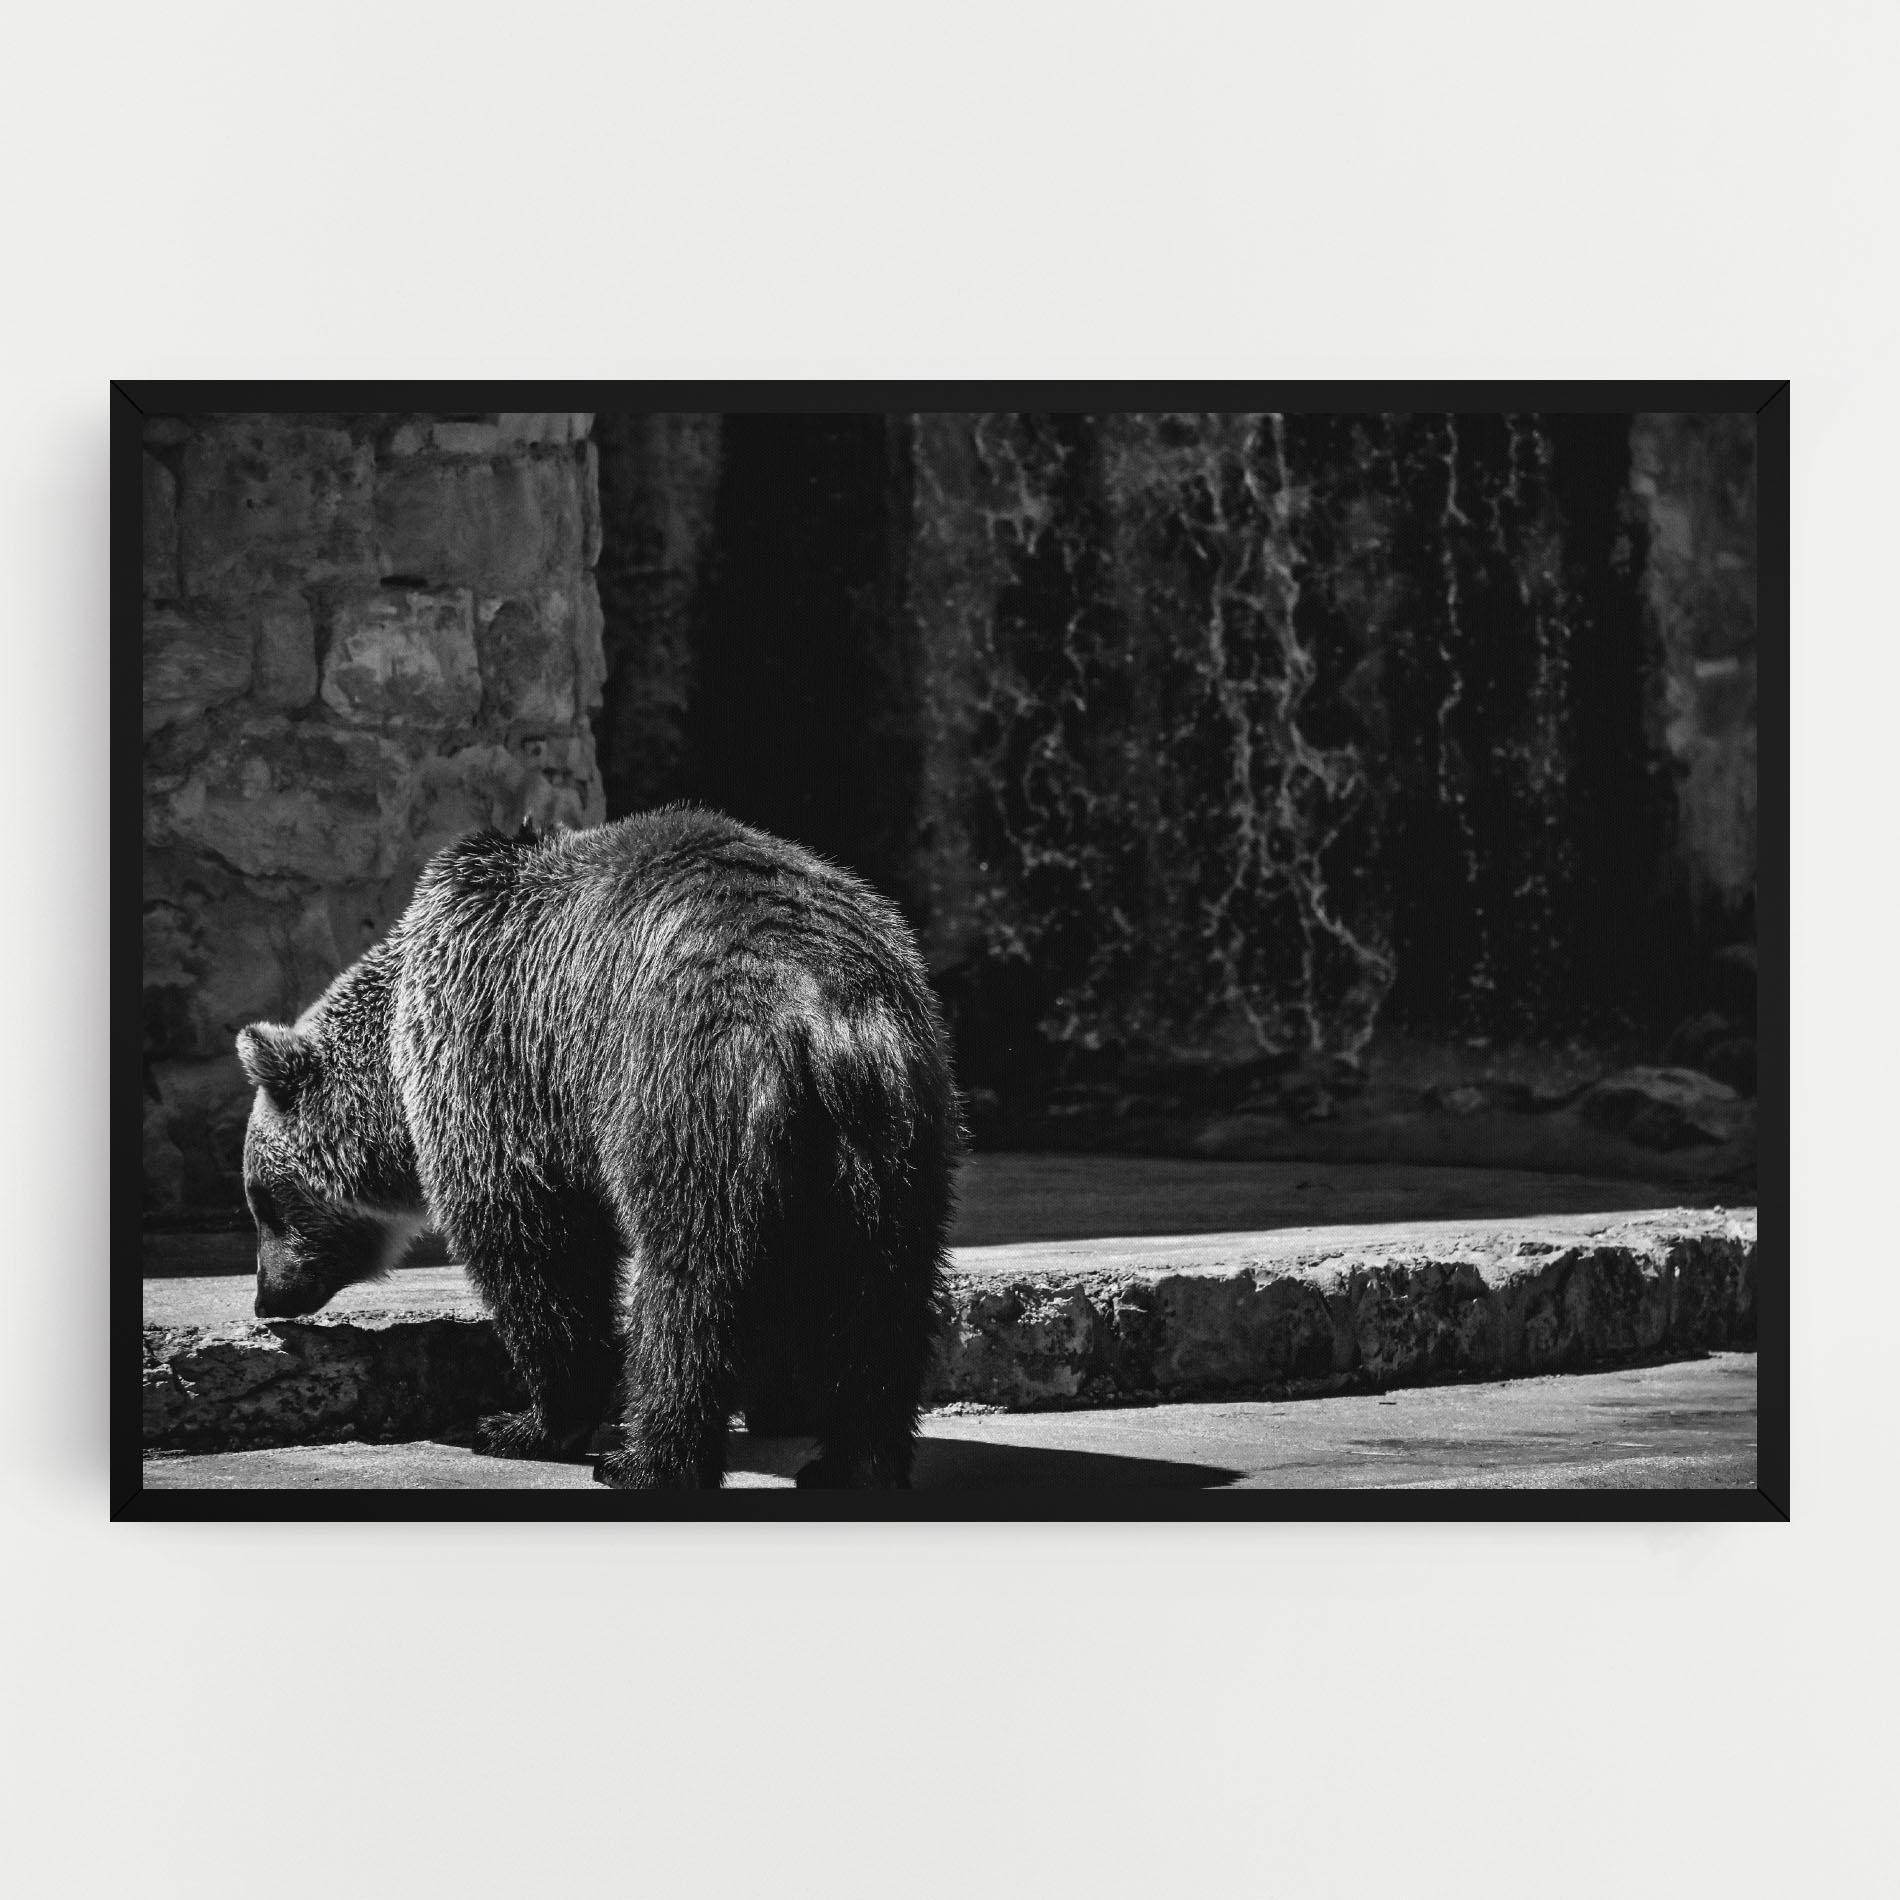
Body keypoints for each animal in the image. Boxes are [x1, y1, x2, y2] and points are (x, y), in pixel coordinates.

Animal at [235, 806, 961, 1489]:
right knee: (882, 1294)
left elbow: (537, 1248)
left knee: (692, 1289)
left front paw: (520, 1423)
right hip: (899, 1132)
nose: (267, 1299)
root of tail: (824, 1010)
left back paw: (646, 1462)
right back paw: (854, 1462)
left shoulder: (502, 1059)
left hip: (690, 1091)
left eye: (263, 1201)